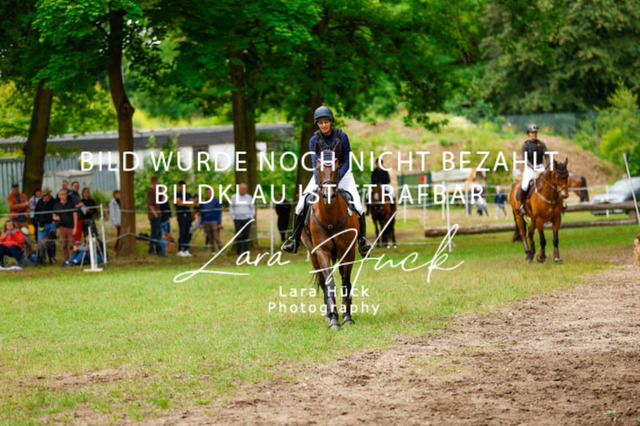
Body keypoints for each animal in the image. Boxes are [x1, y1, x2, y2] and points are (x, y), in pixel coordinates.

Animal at [300, 149, 360, 330]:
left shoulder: (348, 251)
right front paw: (334, 319)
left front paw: (347, 317)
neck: (331, 217)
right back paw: (329, 315)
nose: (328, 196)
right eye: (319, 169)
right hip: (313, 255)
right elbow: (329, 284)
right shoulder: (322, 251)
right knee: (322, 281)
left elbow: (346, 283)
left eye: (336, 168)